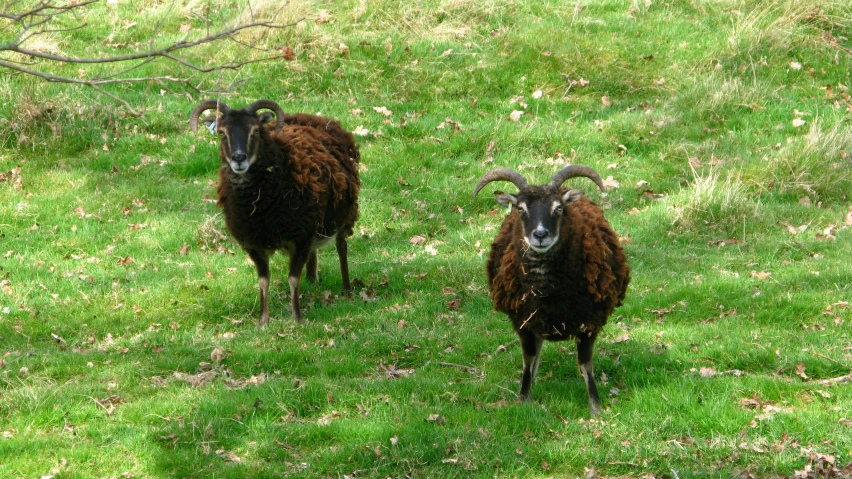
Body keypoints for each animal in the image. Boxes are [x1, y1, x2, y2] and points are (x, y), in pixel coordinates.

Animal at [191, 100, 362, 326]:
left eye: (255, 131)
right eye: (222, 133)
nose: (239, 158)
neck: (258, 206)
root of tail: (314, 117)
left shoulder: (301, 237)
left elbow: (293, 278)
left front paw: (297, 318)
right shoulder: (253, 242)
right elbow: (263, 280)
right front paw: (263, 321)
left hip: (345, 214)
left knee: (342, 248)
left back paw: (346, 290)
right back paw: (312, 281)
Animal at [476, 165, 628, 416]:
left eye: (558, 208)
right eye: (520, 208)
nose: (540, 235)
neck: (546, 292)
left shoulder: (589, 322)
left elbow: (586, 364)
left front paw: (595, 407)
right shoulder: (524, 321)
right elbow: (528, 359)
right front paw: (524, 399)